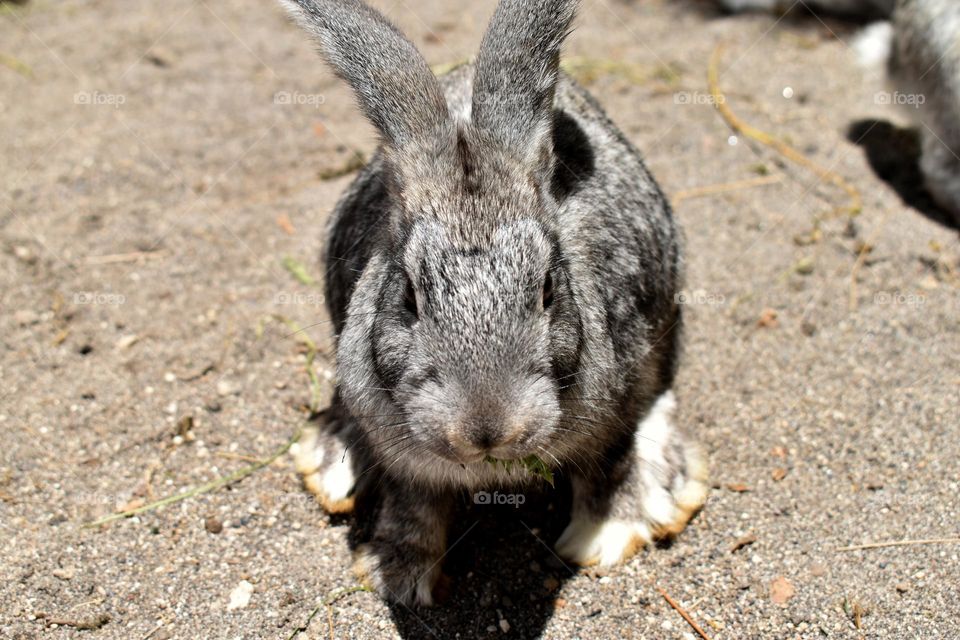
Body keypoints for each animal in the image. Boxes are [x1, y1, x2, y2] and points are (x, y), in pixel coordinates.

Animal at [281, 0, 708, 606]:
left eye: (548, 287)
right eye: (408, 295)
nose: (485, 430)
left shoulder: (620, 397)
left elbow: (612, 460)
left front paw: (606, 537)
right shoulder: (406, 460)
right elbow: (414, 506)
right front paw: (400, 575)